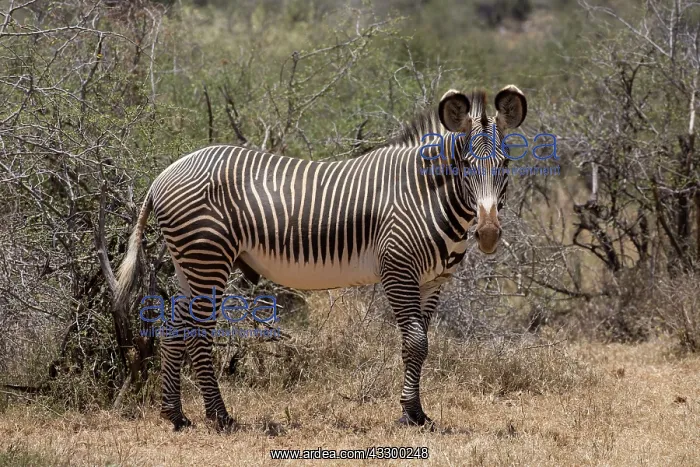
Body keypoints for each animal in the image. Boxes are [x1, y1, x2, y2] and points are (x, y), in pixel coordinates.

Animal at [114, 85, 527, 431]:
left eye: (505, 164)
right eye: (466, 165)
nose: (488, 235)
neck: (425, 194)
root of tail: (163, 175)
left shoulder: (432, 281)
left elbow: (421, 344)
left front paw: (417, 413)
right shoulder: (398, 270)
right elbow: (414, 342)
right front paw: (409, 416)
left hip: (189, 262)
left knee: (174, 328)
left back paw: (175, 415)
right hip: (207, 256)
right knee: (198, 333)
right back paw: (220, 417)